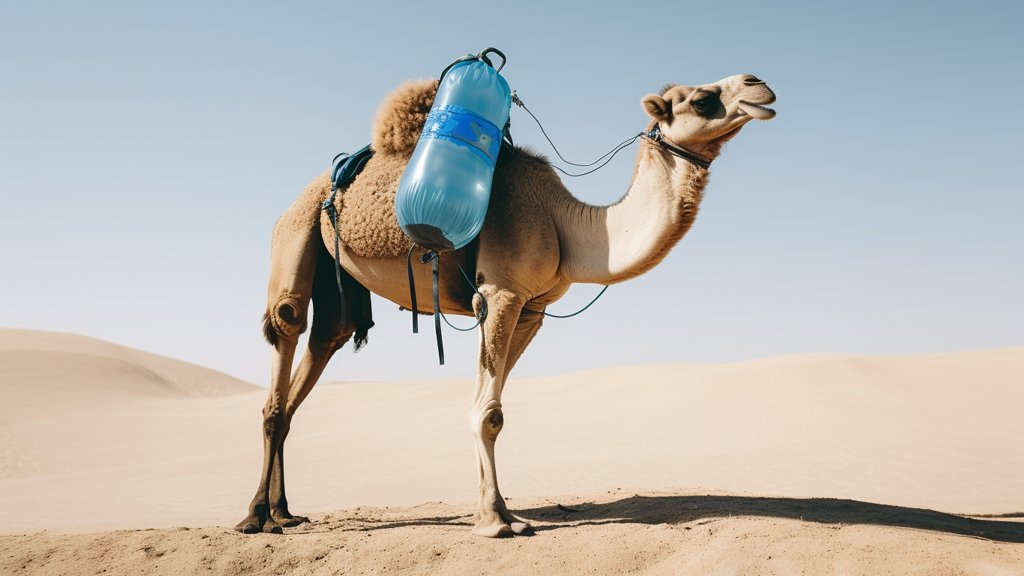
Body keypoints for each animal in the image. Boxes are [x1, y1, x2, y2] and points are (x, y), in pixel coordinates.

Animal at [235, 72, 777, 537]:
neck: (565, 223)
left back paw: (285, 512)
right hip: (296, 231)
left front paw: (495, 511)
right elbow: (489, 413)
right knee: (285, 334)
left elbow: (486, 404)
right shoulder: (501, 294)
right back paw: (255, 516)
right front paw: (497, 520)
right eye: (701, 98)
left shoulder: (531, 308)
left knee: (326, 342)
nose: (760, 86)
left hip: (337, 280)